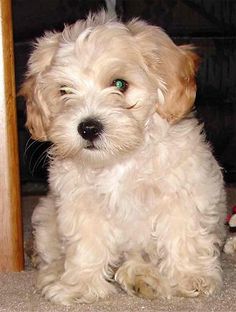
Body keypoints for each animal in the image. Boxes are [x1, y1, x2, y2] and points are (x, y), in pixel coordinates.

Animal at [21, 11, 227, 304]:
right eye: (64, 91)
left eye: (120, 84)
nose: (88, 127)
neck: (120, 159)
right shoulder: (80, 202)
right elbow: (87, 245)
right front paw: (80, 286)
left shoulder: (182, 191)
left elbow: (183, 234)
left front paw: (192, 277)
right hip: (46, 217)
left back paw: (145, 279)